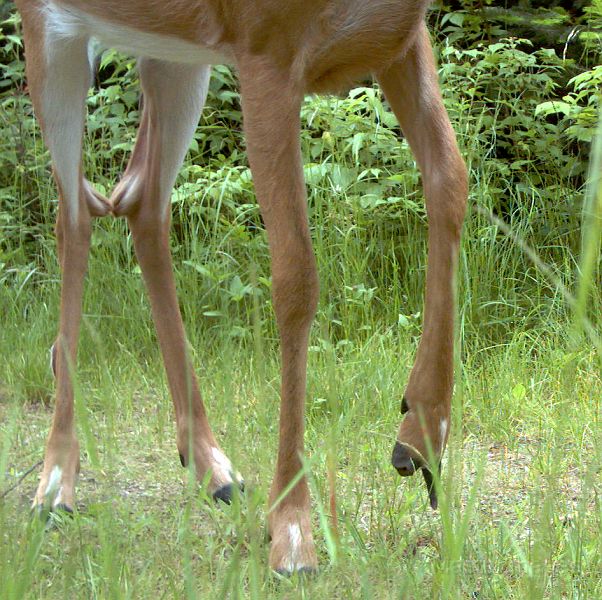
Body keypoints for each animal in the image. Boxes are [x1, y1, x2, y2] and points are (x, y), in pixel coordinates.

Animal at [12, 0, 464, 576]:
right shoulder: (265, 50)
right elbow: (296, 276)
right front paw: (292, 532)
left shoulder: (400, 37)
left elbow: (451, 180)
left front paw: (422, 435)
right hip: (53, 35)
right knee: (73, 217)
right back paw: (55, 483)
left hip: (175, 52)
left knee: (139, 199)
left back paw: (212, 466)